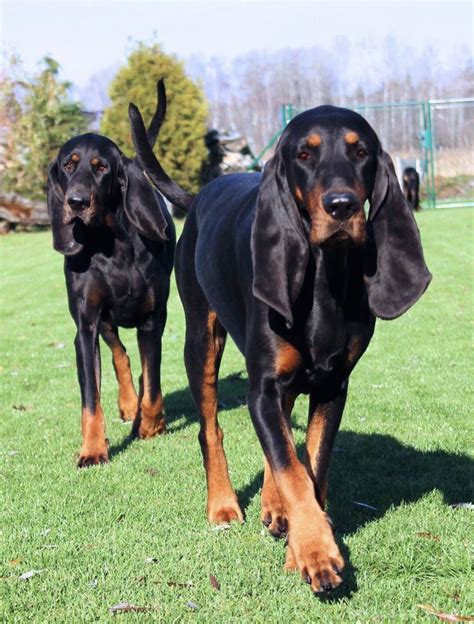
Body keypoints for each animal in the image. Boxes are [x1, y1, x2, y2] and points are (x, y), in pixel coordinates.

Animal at [47, 80, 176, 466]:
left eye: (101, 167)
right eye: (68, 165)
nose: (76, 202)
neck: (111, 245)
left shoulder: (153, 317)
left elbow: (154, 382)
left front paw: (149, 425)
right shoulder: (86, 324)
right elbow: (91, 397)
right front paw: (93, 449)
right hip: (104, 321)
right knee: (120, 354)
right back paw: (128, 403)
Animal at [128, 90, 432, 592]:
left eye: (361, 152)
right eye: (304, 155)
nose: (342, 206)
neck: (325, 277)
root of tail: (200, 195)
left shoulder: (332, 387)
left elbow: (311, 465)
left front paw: (300, 537)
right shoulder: (264, 384)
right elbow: (292, 468)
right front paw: (313, 552)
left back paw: (273, 507)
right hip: (201, 340)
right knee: (211, 428)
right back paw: (223, 504)